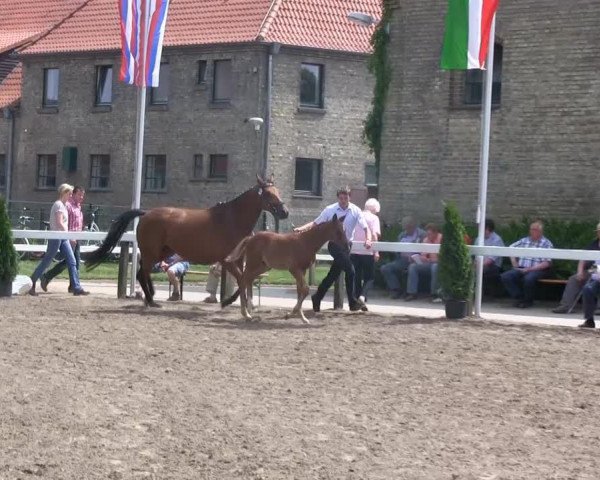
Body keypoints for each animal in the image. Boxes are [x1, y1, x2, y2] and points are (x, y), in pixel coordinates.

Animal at [85, 174, 290, 306]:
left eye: (278, 191)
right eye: (268, 193)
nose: (285, 212)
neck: (232, 219)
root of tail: (146, 214)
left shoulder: (238, 260)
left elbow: (244, 279)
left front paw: (234, 302)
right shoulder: (227, 260)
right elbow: (242, 279)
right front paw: (227, 302)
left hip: (162, 252)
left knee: (142, 272)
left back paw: (151, 297)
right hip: (152, 252)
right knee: (142, 273)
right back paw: (151, 300)